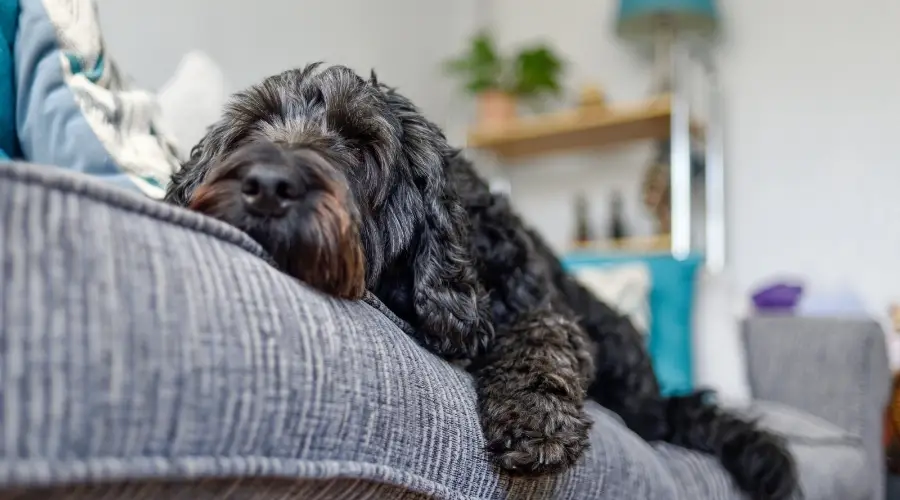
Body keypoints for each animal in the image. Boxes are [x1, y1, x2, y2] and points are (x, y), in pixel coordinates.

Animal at [165, 64, 800, 498]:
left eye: (360, 144)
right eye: (250, 130)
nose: (267, 185)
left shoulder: (540, 305)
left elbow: (543, 338)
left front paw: (533, 415)